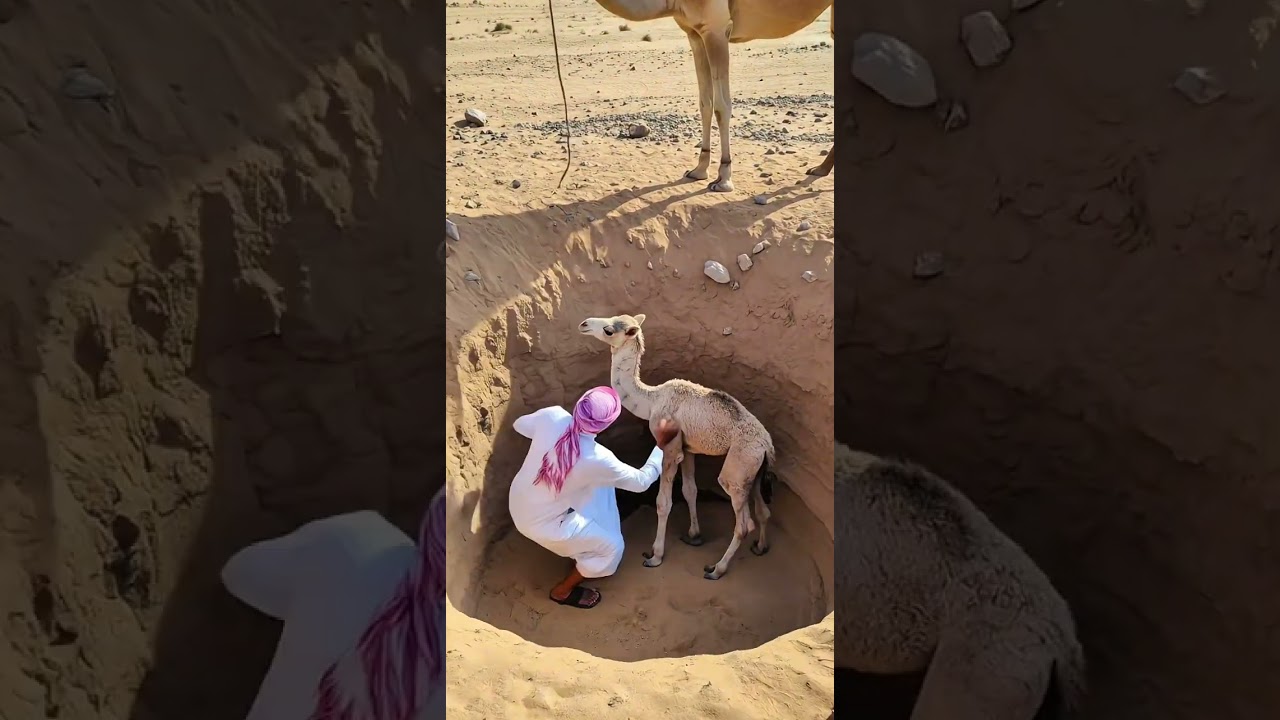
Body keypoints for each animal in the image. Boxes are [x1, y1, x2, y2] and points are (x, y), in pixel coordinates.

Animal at [579, 312, 774, 580]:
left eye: (609, 330)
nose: (584, 324)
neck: (651, 400)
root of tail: (767, 446)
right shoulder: (689, 448)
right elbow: (689, 490)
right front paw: (694, 535)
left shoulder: (671, 448)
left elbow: (663, 502)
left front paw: (655, 555)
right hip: (754, 469)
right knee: (763, 509)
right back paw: (760, 547)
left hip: (737, 467)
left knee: (743, 523)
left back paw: (716, 569)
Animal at [582, 0, 835, 190]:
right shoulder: (694, 33)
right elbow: (705, 102)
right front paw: (699, 170)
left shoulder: (717, 29)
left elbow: (722, 106)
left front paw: (724, 177)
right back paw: (820, 169)